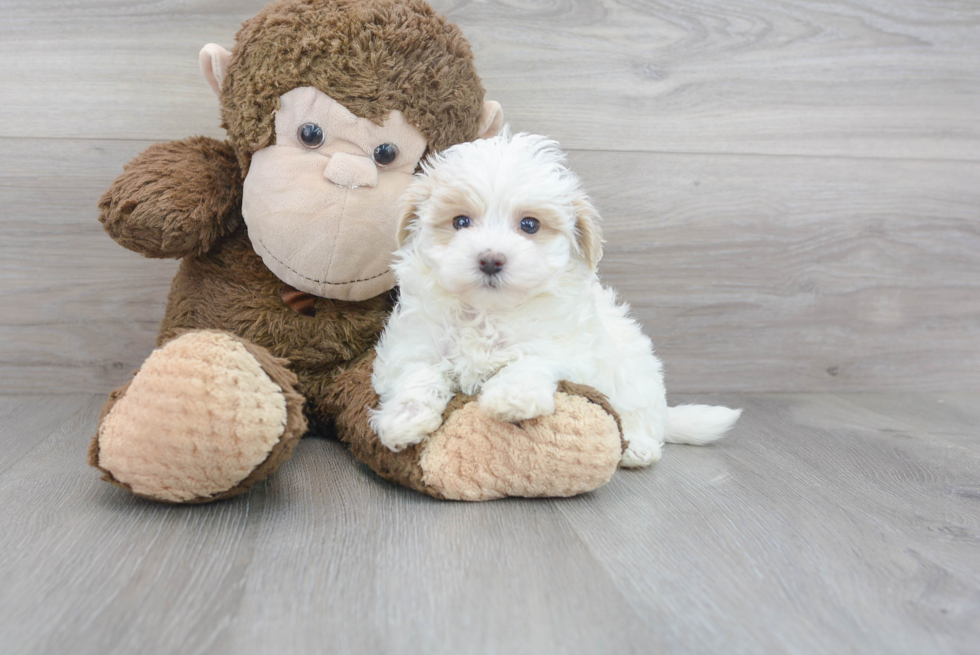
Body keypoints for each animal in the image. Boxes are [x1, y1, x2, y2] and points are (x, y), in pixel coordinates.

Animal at [372, 131, 740, 466]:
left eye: (529, 225)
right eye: (460, 221)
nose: (491, 260)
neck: (488, 313)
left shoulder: (566, 346)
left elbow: (533, 358)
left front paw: (512, 397)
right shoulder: (414, 345)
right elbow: (418, 375)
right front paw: (404, 419)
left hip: (637, 377)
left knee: (642, 418)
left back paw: (637, 446)